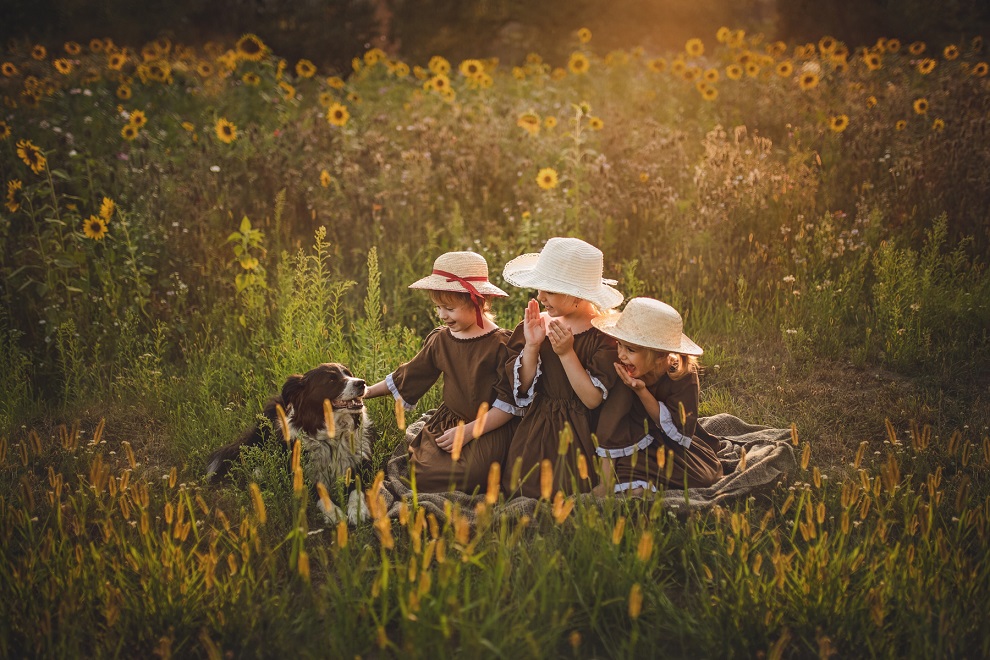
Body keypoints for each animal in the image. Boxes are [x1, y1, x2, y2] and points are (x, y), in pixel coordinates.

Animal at [207, 364, 378, 524]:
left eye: (349, 374)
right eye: (331, 380)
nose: (361, 383)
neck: (332, 436)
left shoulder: (360, 462)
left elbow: (356, 488)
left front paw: (357, 510)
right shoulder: (301, 474)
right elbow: (319, 493)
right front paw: (334, 513)